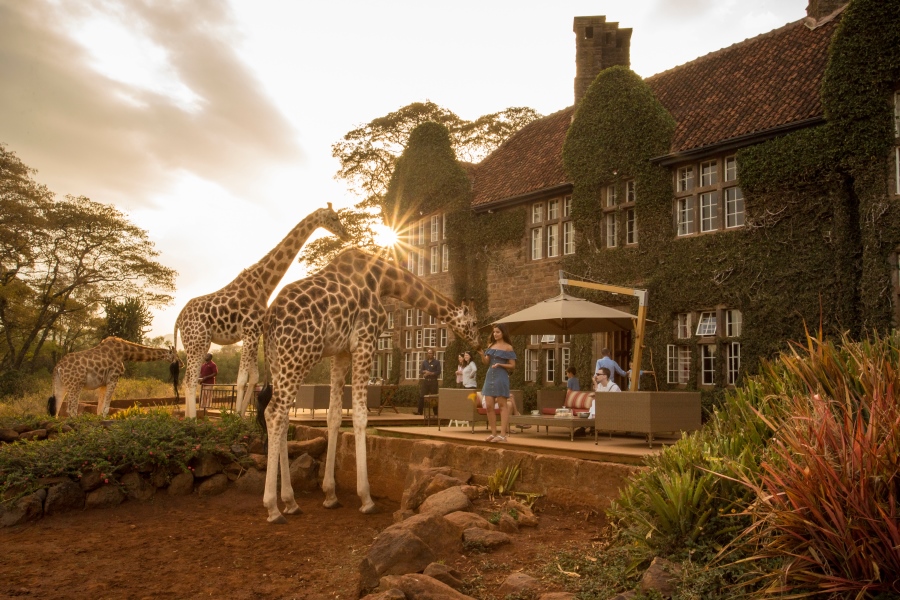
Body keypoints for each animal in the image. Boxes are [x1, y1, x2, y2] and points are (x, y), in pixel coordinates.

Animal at [48, 337, 178, 417]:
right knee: (71, 409)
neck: (125, 353)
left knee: (56, 409)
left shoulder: (103, 383)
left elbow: (99, 408)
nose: (181, 363)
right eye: (176, 356)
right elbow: (106, 407)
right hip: (75, 385)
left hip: (60, 385)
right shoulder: (113, 378)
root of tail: (58, 368)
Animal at [173, 204, 347, 418]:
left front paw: (241, 416)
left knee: (188, 378)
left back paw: (188, 418)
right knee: (190, 379)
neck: (263, 285)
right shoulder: (249, 331)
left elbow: (253, 377)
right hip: (197, 341)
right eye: (334, 217)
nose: (346, 234)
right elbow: (241, 378)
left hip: (198, 342)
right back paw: (193, 419)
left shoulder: (255, 332)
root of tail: (178, 319)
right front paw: (235, 417)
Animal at [258, 248, 482, 524]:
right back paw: (273, 508)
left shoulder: (341, 352)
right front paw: (366, 499)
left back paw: (290, 502)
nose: (480, 345)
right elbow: (360, 416)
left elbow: (334, 416)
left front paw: (330, 495)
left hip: (279, 360)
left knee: (283, 416)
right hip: (299, 355)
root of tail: (269, 319)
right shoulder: (365, 341)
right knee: (275, 413)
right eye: (474, 323)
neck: (384, 280)